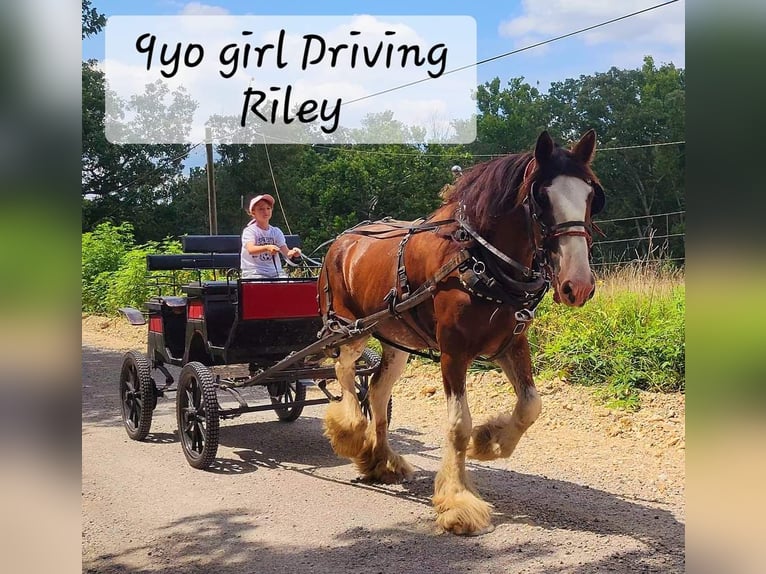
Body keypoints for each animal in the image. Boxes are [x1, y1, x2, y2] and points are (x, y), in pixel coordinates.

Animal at [316, 129, 608, 536]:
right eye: (541, 196)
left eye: (591, 197)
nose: (577, 286)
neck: (476, 259)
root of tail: (341, 242)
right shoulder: (453, 351)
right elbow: (458, 425)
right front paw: (459, 502)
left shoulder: (512, 343)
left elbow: (531, 405)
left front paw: (490, 442)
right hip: (349, 329)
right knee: (344, 372)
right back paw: (351, 431)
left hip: (397, 342)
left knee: (377, 391)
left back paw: (382, 460)